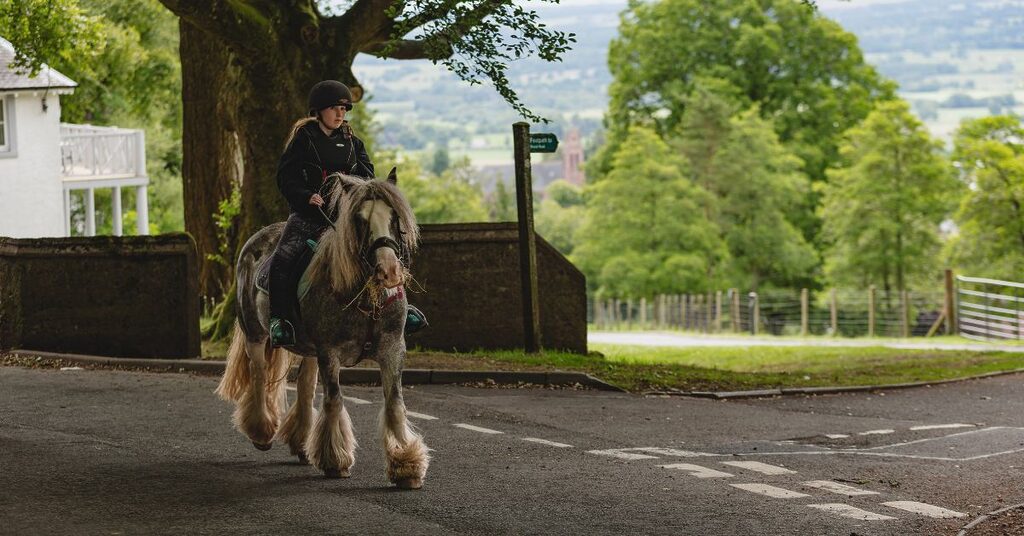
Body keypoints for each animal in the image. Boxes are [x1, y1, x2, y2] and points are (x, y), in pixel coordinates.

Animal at [214, 169, 430, 489]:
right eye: (359, 220)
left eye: (394, 218)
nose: (389, 271)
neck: (362, 296)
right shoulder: (331, 352)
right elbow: (334, 399)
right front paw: (335, 460)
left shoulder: (392, 349)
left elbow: (394, 404)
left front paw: (406, 464)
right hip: (255, 333)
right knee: (259, 374)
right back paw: (262, 430)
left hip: (308, 349)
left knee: (304, 386)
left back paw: (302, 442)